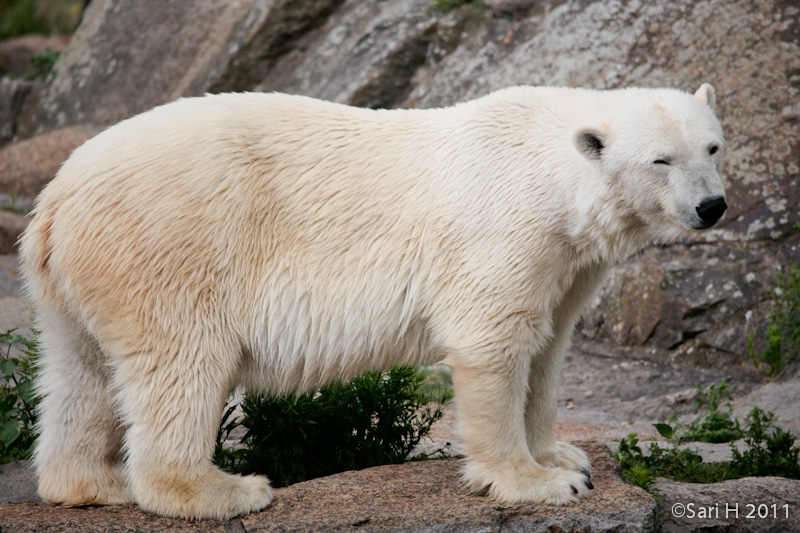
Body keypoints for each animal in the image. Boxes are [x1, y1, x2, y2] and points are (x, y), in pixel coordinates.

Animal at [21, 85, 728, 516]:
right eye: (660, 160)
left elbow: (549, 347)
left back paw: (92, 483)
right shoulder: (505, 229)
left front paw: (563, 454)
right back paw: (223, 490)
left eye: (714, 146)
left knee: (81, 371)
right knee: (182, 362)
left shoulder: (568, 260)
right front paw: (538, 481)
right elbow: (493, 340)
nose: (712, 206)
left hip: (78, 280)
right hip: (172, 249)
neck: (550, 171)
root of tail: (56, 198)